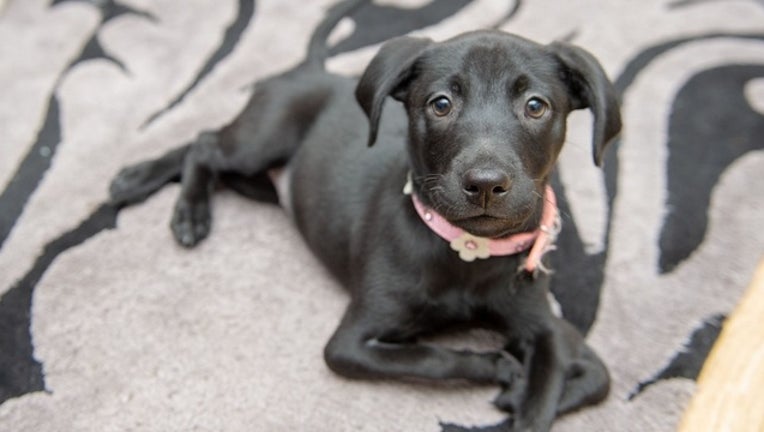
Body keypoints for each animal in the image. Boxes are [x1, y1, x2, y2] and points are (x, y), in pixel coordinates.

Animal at [109, 2, 620, 428]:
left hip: (255, 179)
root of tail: (316, 69)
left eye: (536, 106)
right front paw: (496, 365)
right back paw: (172, 203)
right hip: (263, 137)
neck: (466, 253)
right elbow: (430, 359)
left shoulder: (544, 330)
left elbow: (564, 389)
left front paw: (526, 396)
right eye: (441, 104)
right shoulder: (348, 345)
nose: (486, 184)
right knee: (206, 144)